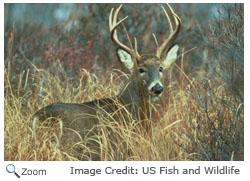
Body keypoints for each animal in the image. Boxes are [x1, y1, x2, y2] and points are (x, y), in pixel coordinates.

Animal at [32, 3, 182, 160]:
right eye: (141, 69)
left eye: (161, 68)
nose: (157, 88)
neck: (130, 110)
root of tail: (46, 116)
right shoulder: (123, 149)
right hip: (76, 148)